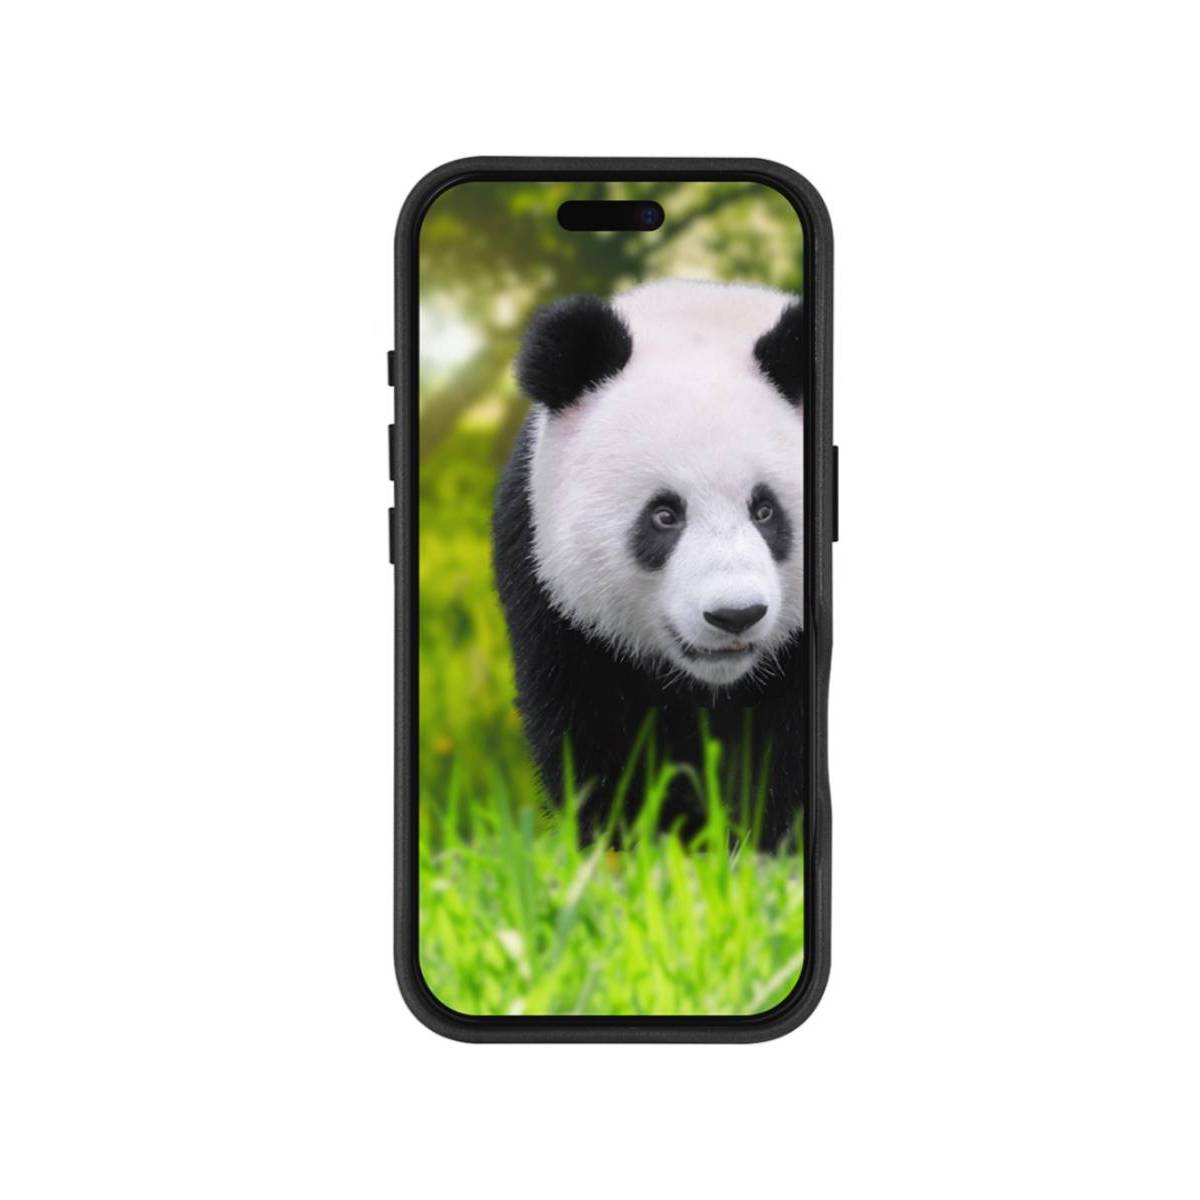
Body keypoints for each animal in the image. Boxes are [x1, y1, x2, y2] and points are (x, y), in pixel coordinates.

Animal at [492, 278, 806, 847]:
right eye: (664, 515)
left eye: (765, 510)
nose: (735, 615)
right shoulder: (554, 601)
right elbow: (600, 743)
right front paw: (639, 846)